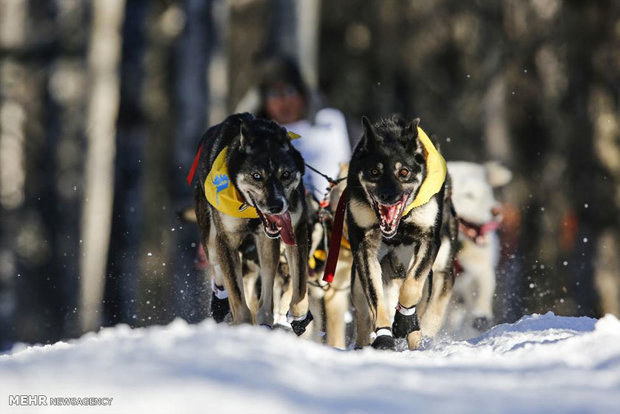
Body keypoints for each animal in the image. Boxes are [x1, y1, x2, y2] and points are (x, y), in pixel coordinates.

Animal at [189, 113, 312, 336]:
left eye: (286, 174)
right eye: (257, 176)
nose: (276, 206)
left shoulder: (293, 230)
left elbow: (298, 284)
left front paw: (297, 316)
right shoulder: (226, 240)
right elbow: (237, 296)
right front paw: (244, 327)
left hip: (266, 244)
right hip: (211, 240)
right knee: (218, 269)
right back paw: (219, 302)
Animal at [346, 115, 458, 350]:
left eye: (404, 172)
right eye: (374, 172)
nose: (387, 196)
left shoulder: (428, 241)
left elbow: (412, 288)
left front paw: (405, 323)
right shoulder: (364, 247)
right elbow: (376, 297)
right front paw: (384, 336)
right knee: (364, 315)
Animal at [446, 160, 512, 334]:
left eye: (488, 194)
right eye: (468, 195)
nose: (496, 210)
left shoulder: (481, 266)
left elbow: (485, 287)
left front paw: (480, 314)